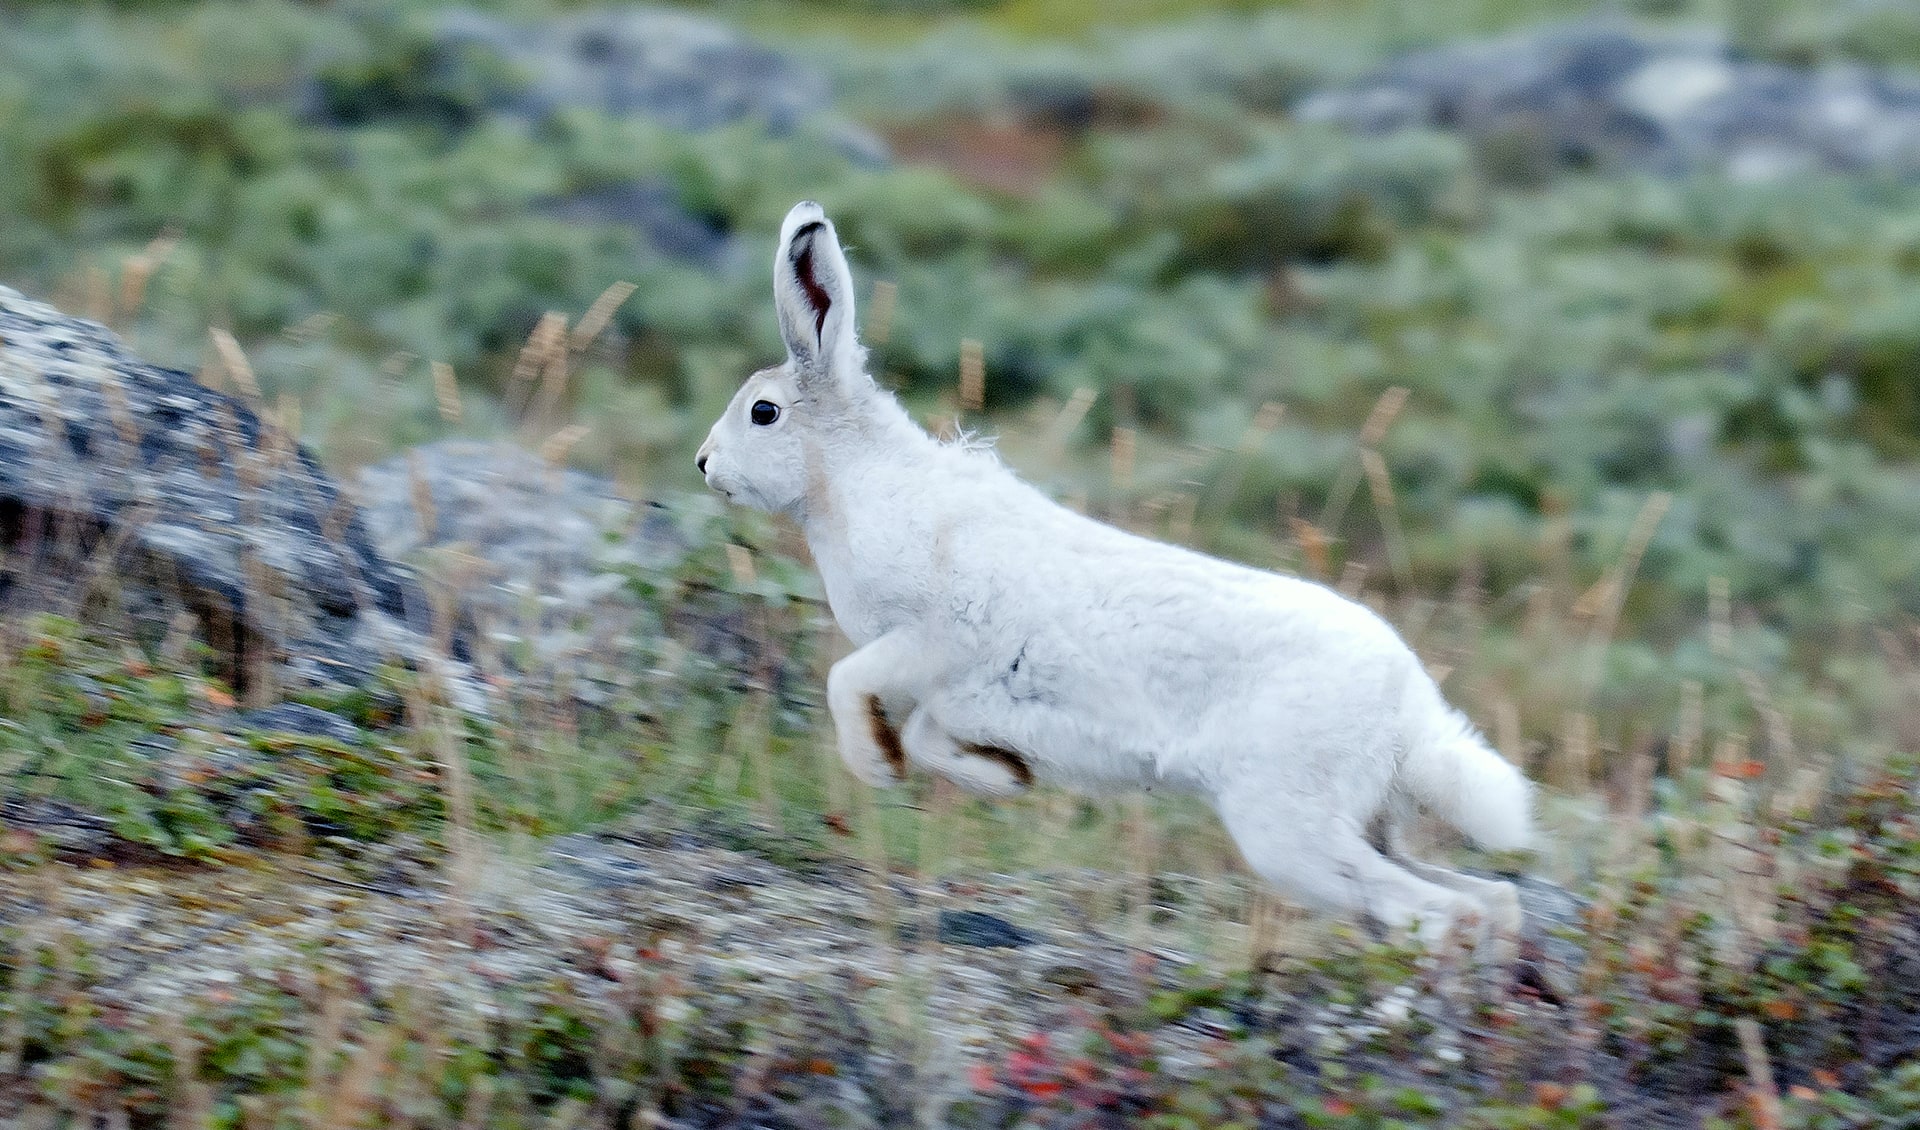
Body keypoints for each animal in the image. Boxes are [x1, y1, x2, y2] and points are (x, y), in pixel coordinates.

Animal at [697, 201, 1533, 956]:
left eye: (763, 413)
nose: (705, 464)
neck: (848, 482)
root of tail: (1406, 710)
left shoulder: (933, 642)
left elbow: (849, 683)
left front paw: (877, 765)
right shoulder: (963, 694)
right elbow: (932, 736)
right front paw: (1003, 777)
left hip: (1289, 825)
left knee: (1437, 908)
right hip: (1363, 822)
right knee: (1486, 899)